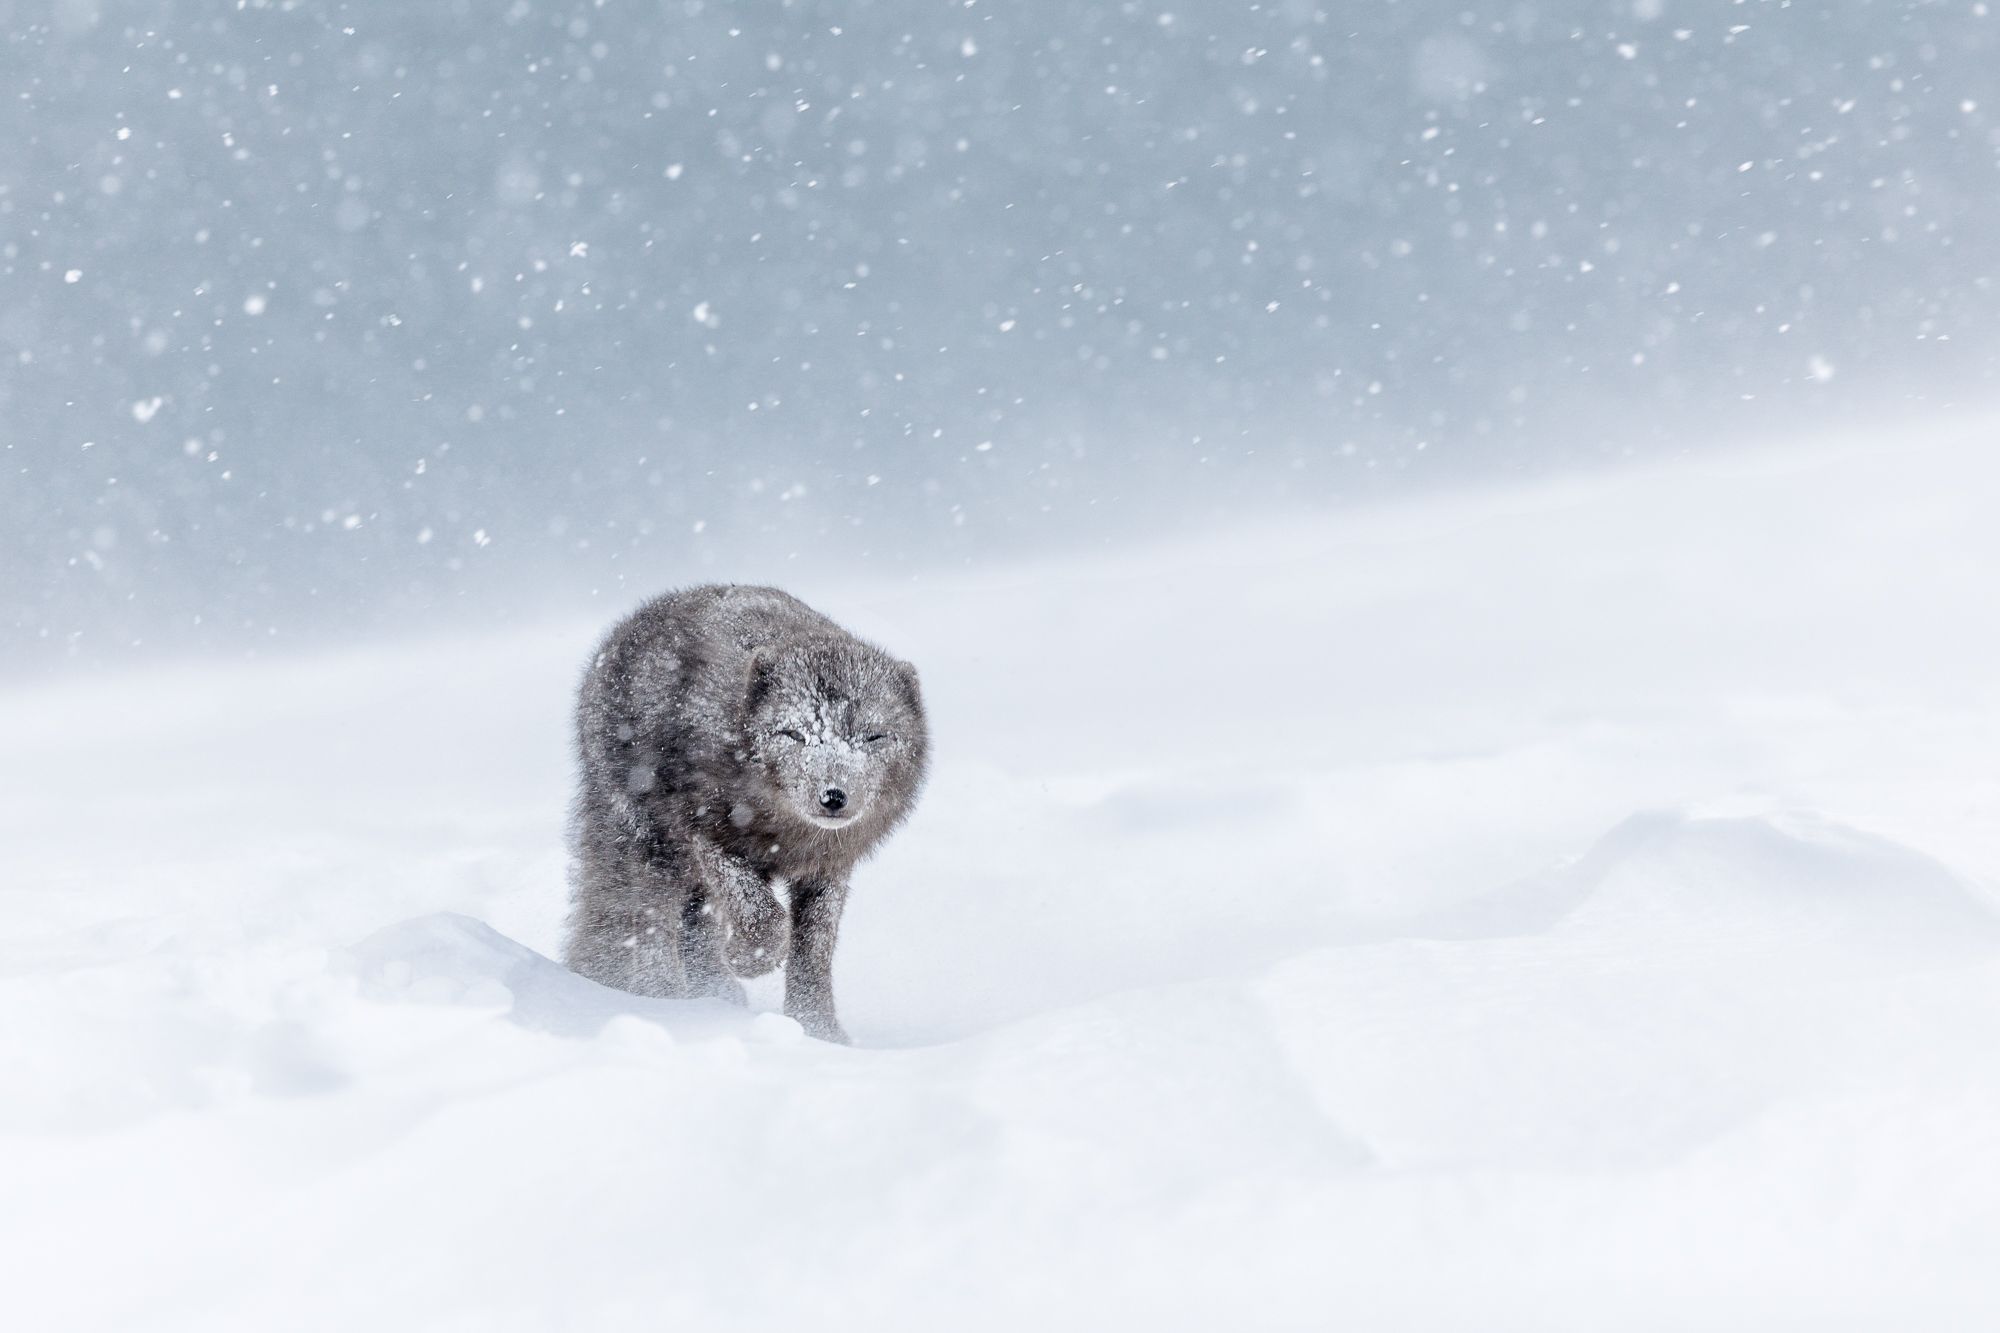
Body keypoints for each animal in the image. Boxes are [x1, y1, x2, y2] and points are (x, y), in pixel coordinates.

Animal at [562, 584, 930, 1043]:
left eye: (874, 736)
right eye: (792, 734)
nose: (833, 796)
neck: (789, 832)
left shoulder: (829, 866)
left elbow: (814, 949)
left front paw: (818, 1031)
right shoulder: (705, 830)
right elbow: (765, 917)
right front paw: (747, 957)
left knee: (694, 921)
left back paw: (714, 995)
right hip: (651, 847)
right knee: (647, 922)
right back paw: (665, 1001)